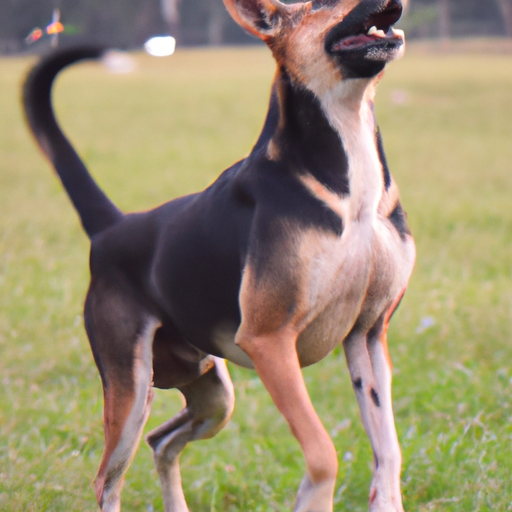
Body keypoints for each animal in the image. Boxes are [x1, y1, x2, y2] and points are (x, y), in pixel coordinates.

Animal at [23, 0, 416, 510]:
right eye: (319, 4)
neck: (350, 186)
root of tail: (113, 226)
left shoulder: (368, 335)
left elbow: (387, 450)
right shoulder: (270, 341)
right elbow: (321, 451)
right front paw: (313, 497)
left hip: (213, 393)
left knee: (162, 442)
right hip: (130, 390)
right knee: (108, 480)